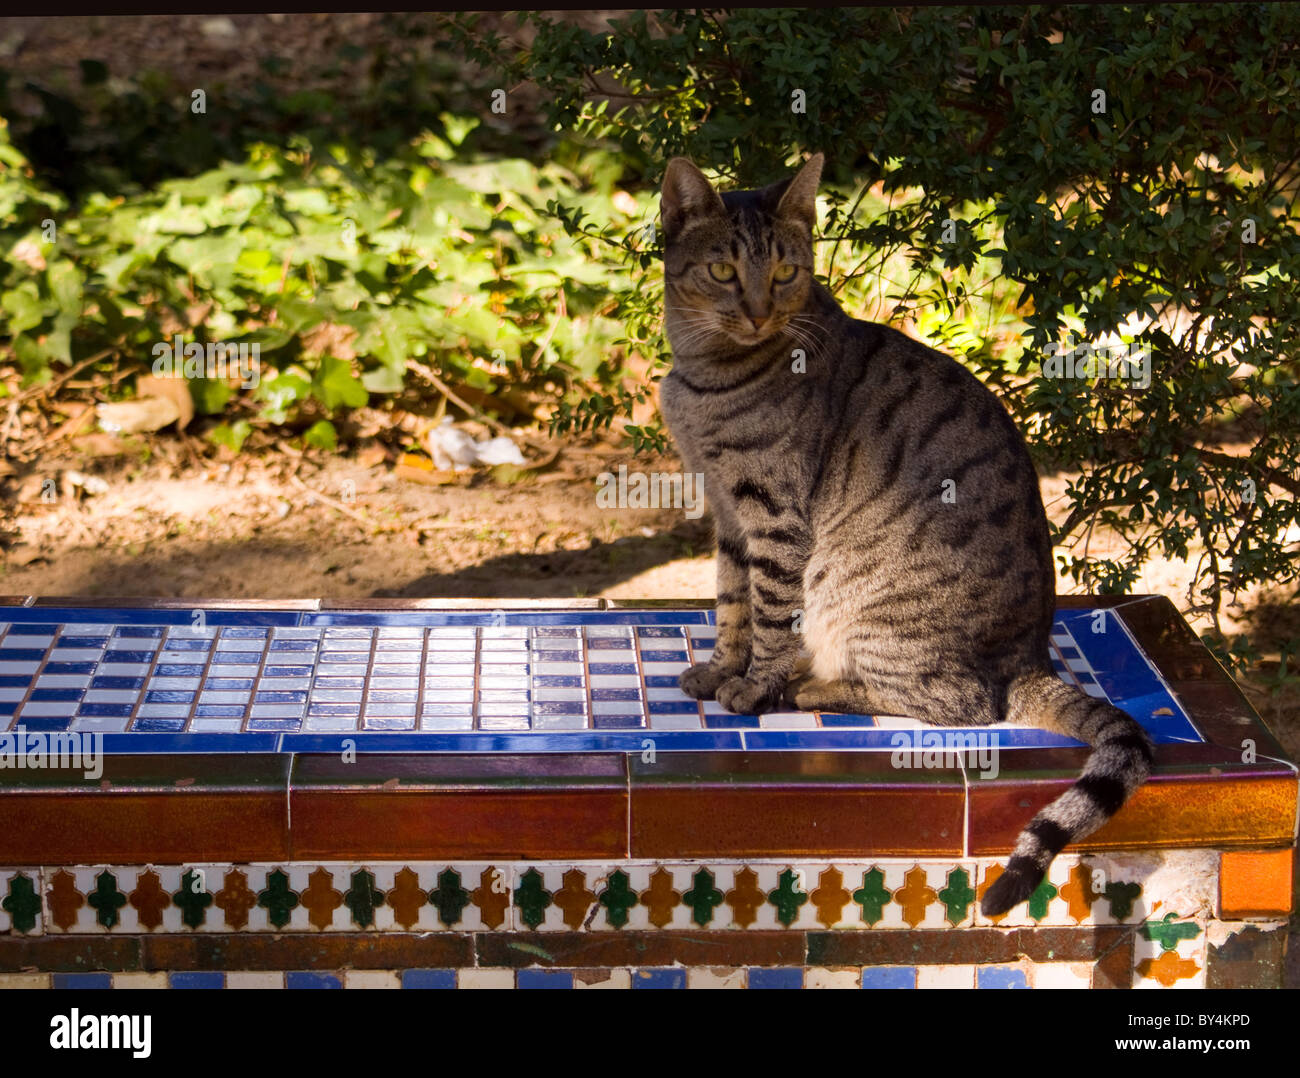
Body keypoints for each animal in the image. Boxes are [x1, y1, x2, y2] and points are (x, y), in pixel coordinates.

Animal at [655, 151, 1154, 910]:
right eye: (721, 271)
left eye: (786, 272)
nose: (761, 311)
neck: (705, 373)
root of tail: (1029, 657)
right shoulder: (729, 515)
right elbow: (732, 606)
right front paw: (719, 669)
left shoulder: (773, 514)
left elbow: (767, 612)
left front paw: (752, 685)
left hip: (864, 602)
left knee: (961, 702)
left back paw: (811, 687)